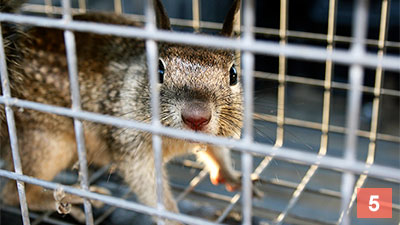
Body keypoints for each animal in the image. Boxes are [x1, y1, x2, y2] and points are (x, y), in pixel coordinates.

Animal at [0, 0, 245, 223]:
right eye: (158, 70)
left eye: (233, 74)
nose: (196, 117)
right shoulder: (130, 147)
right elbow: (150, 189)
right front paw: (174, 219)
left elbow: (218, 151)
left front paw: (232, 176)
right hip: (45, 144)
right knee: (15, 194)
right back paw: (73, 198)